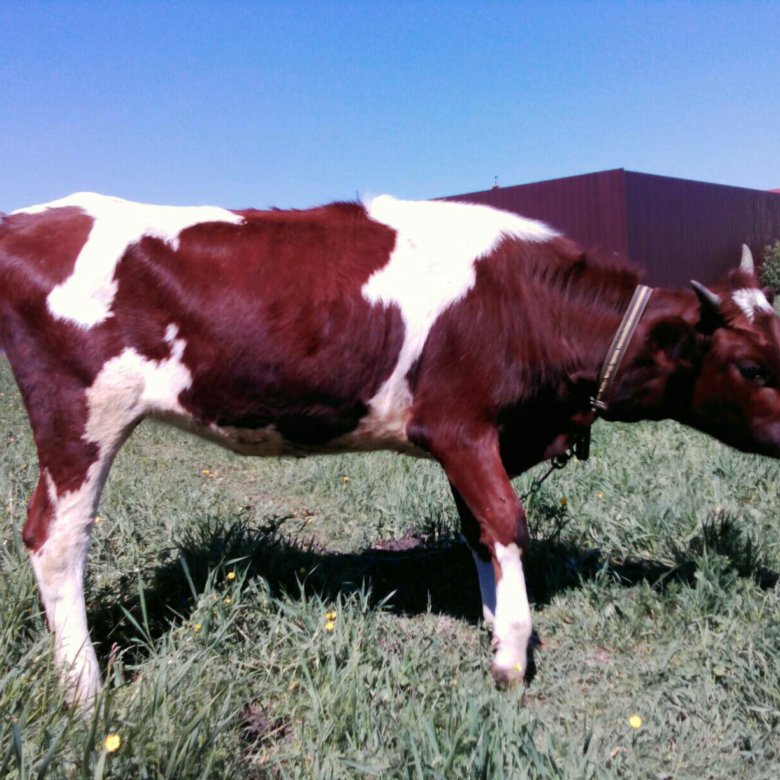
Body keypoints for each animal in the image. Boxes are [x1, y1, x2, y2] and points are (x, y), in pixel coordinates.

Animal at [1, 192, 780, 704]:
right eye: (751, 367)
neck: (525, 304)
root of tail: (38, 212)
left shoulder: (473, 440)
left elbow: (477, 530)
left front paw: (494, 626)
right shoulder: (461, 425)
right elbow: (506, 522)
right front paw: (511, 657)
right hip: (83, 415)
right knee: (55, 538)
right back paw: (85, 691)